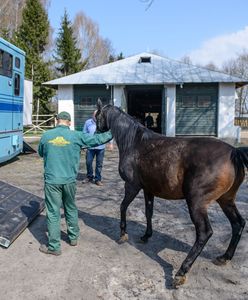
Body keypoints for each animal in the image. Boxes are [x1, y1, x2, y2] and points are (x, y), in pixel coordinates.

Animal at [95, 101, 246, 288]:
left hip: (196, 203)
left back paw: (181, 272)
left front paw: (123, 234)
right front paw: (146, 236)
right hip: (226, 200)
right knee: (238, 223)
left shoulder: (131, 186)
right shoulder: (148, 190)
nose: (95, 133)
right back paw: (225, 257)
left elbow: (122, 207)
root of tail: (234, 153)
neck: (135, 143)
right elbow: (149, 213)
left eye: (97, 116)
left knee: (204, 233)